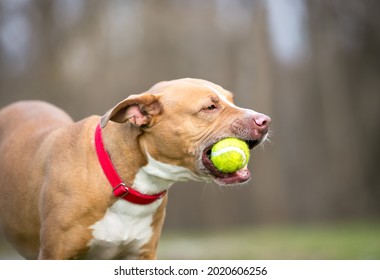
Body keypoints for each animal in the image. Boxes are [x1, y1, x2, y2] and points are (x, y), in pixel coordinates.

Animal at [0, 77, 272, 260]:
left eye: (231, 100)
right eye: (210, 107)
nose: (265, 120)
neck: (126, 185)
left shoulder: (142, 255)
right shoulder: (56, 253)